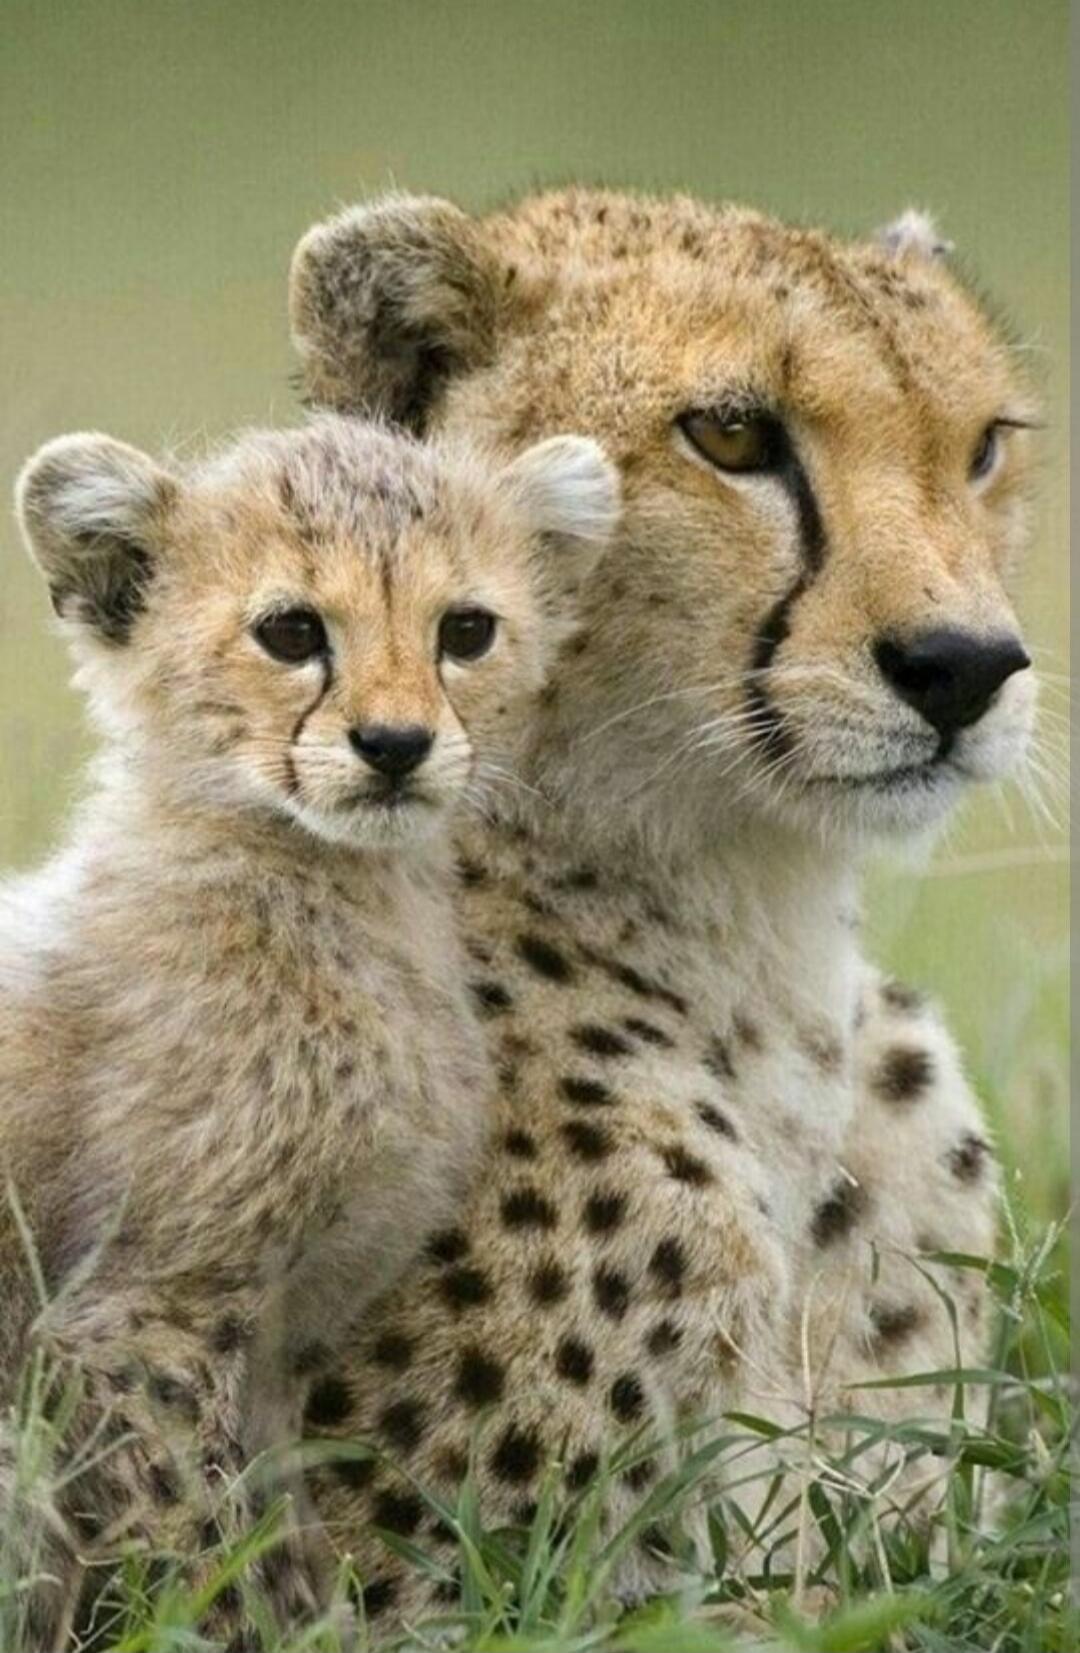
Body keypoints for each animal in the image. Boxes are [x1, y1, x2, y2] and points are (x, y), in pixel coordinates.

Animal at [1, 413, 619, 1647]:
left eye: (466, 630)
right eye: (291, 632)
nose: (395, 743)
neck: (331, 893)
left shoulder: (278, 1346)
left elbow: (278, 1538)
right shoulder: (141, 1317)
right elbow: (204, 1545)